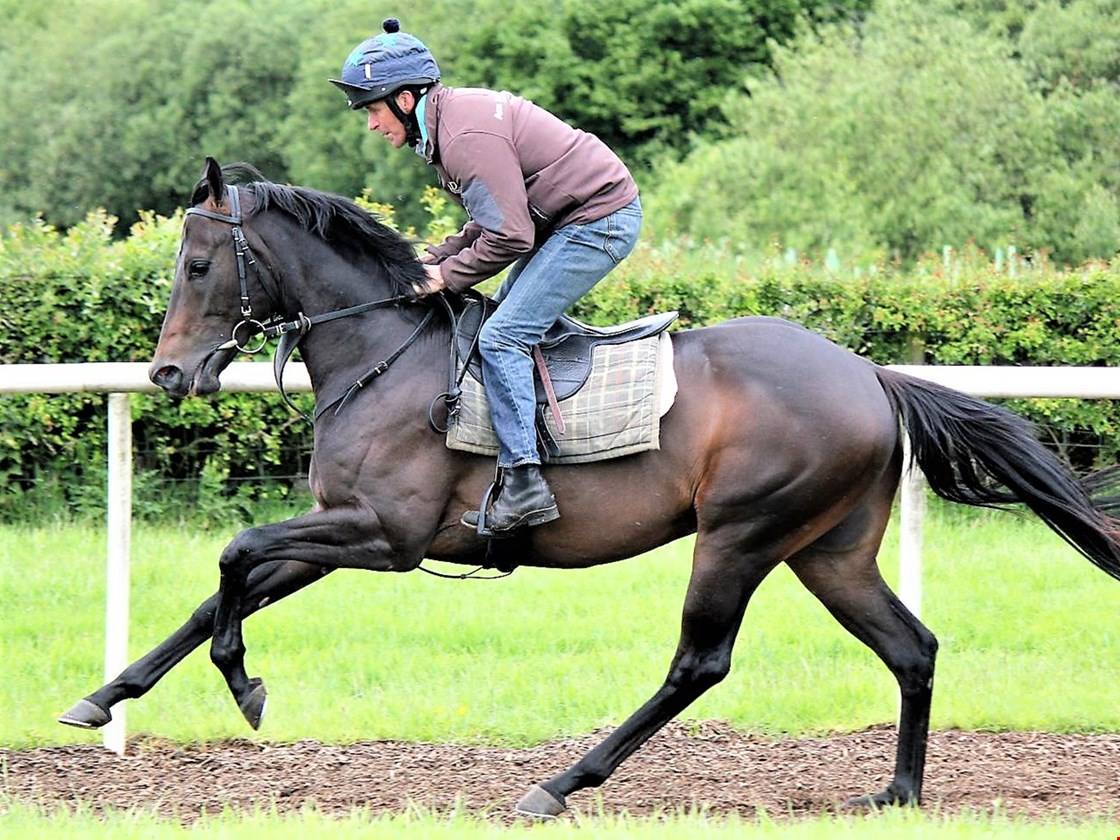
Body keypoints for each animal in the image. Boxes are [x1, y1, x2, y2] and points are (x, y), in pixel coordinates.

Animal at [60, 157, 1120, 817]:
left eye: (199, 264)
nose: (165, 374)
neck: (382, 354)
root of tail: (870, 374)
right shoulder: (340, 526)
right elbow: (218, 591)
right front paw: (104, 696)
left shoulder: (384, 536)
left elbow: (232, 555)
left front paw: (243, 684)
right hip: (830, 549)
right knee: (912, 647)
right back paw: (897, 794)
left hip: (740, 534)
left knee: (699, 664)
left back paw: (560, 784)